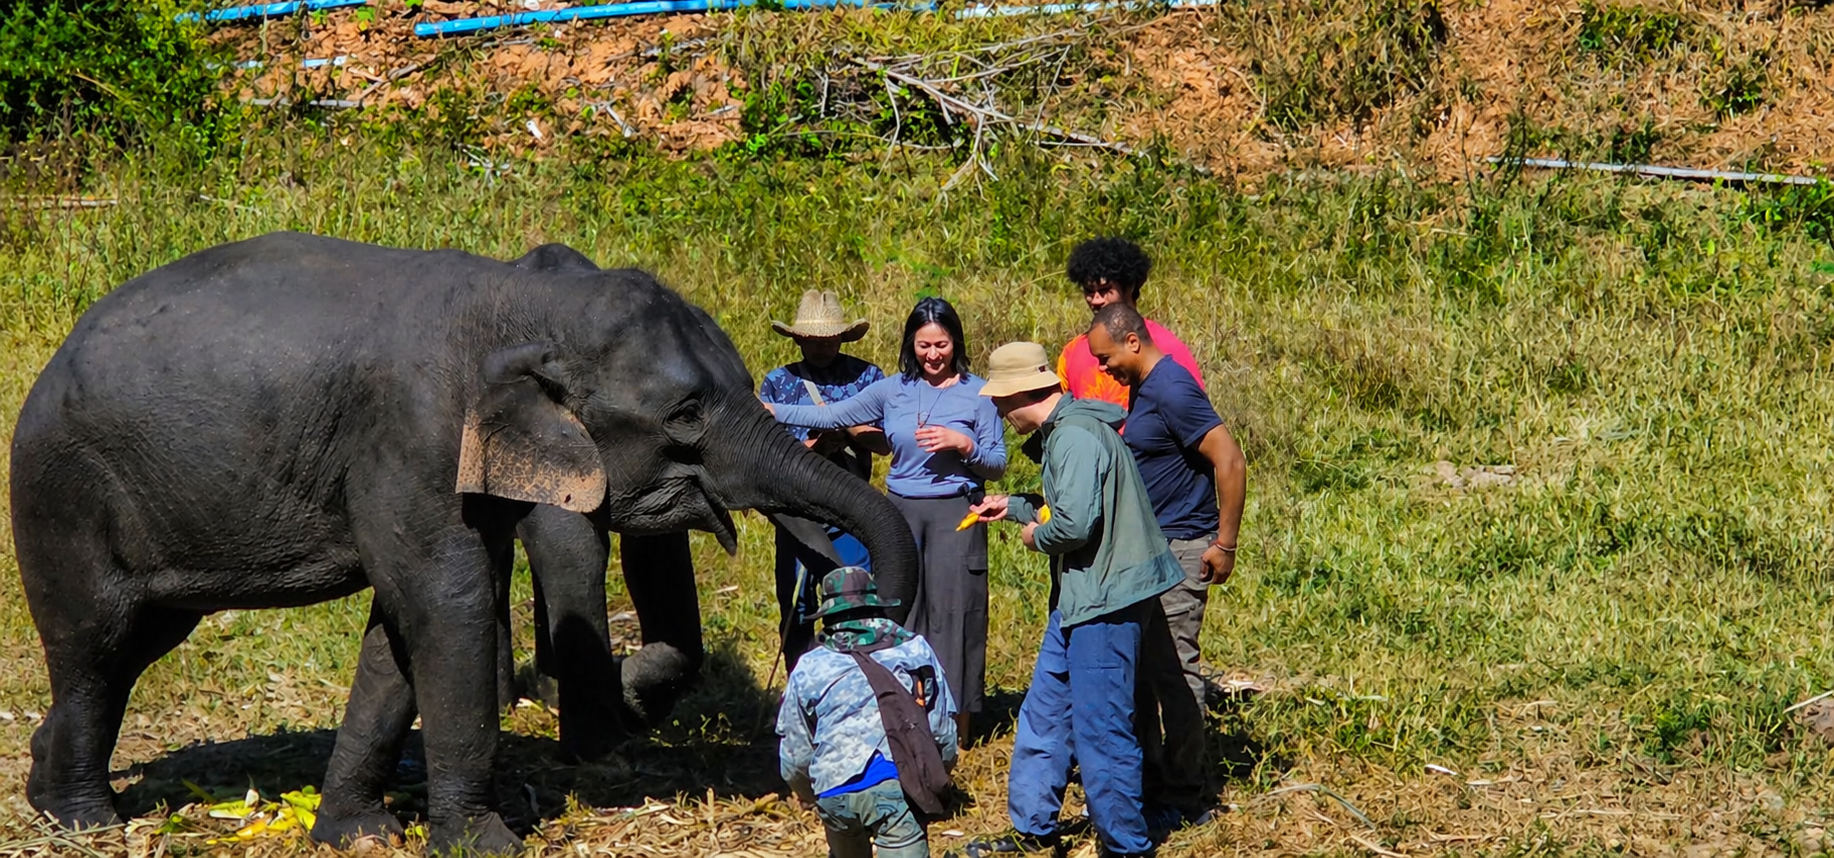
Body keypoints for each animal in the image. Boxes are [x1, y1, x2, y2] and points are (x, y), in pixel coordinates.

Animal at [8, 231, 919, 855]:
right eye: (685, 416)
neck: (516, 301)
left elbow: (401, 630)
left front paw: (359, 834)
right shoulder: (412, 436)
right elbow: (450, 603)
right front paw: (485, 843)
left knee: (139, 639)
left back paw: (45, 789)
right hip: (64, 491)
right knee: (95, 643)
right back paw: (89, 821)